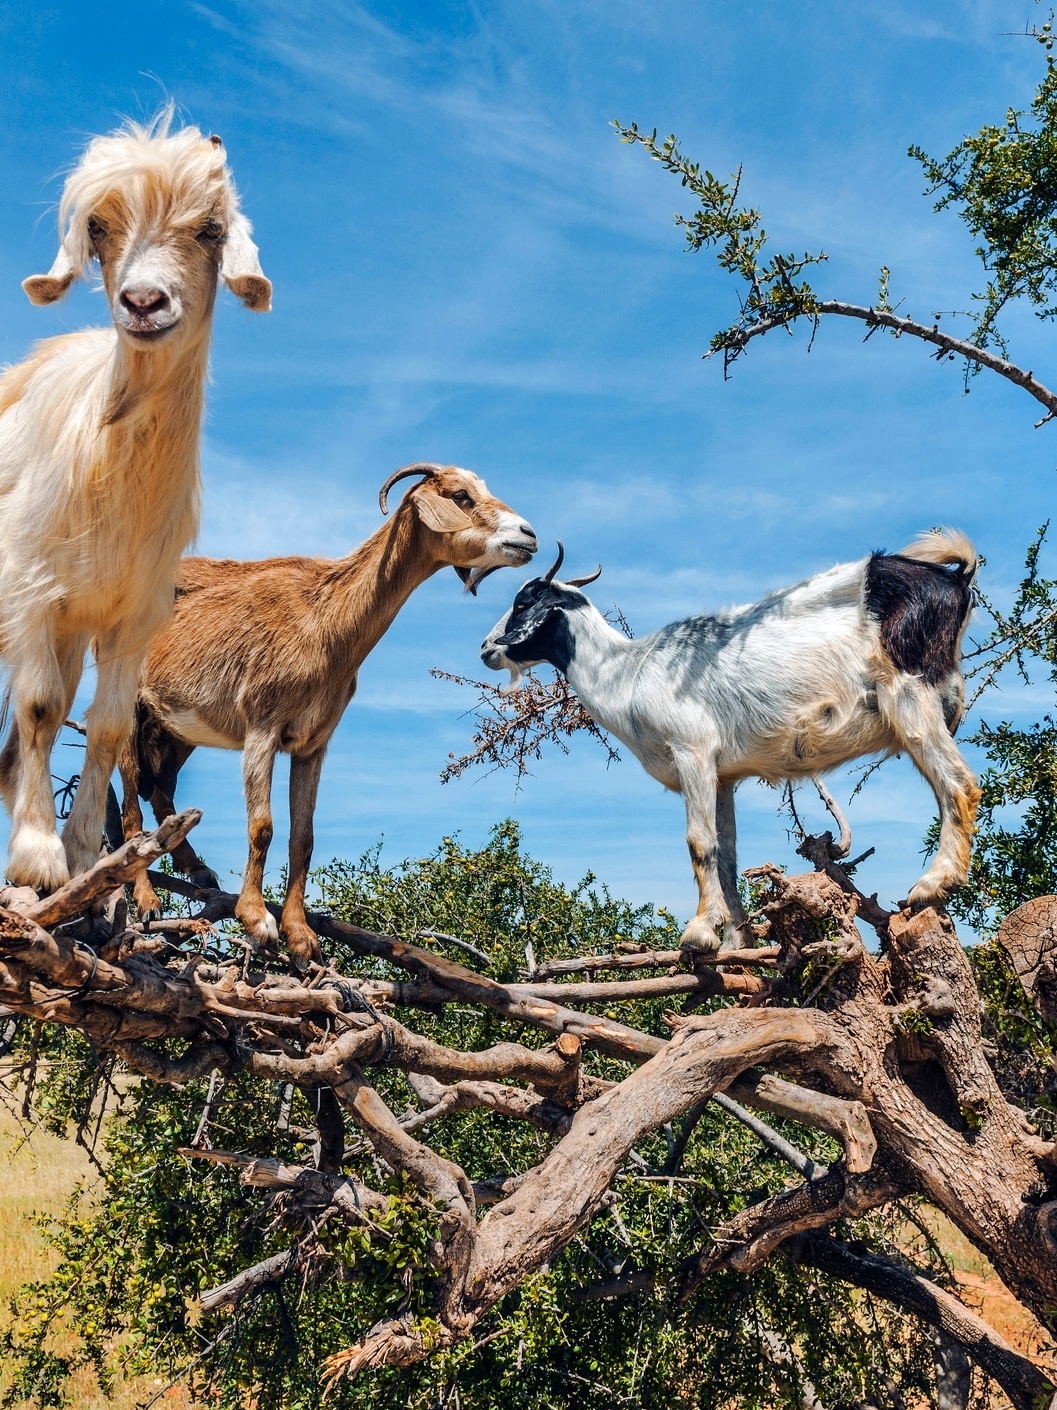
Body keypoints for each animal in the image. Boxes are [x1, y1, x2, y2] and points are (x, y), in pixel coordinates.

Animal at [0, 111, 270, 893]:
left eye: (211, 229)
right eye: (97, 227)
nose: (144, 302)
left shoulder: (132, 613)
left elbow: (108, 726)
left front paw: (83, 855)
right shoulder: (31, 591)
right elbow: (40, 710)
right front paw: (37, 857)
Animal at [119, 462, 538, 964]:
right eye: (461, 496)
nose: (528, 535)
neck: (325, 619)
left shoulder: (313, 742)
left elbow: (304, 838)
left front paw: (301, 936)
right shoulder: (262, 727)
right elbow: (262, 827)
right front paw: (258, 921)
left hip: (176, 727)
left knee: (160, 791)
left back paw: (197, 871)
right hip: (125, 708)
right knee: (128, 803)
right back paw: (146, 900)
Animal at [482, 533, 982, 950]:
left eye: (524, 601)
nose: (486, 649)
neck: (628, 672)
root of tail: (955, 579)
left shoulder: (691, 751)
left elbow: (699, 842)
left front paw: (700, 933)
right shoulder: (722, 775)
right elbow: (725, 852)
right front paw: (736, 941)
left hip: (910, 694)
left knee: (958, 784)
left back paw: (932, 885)